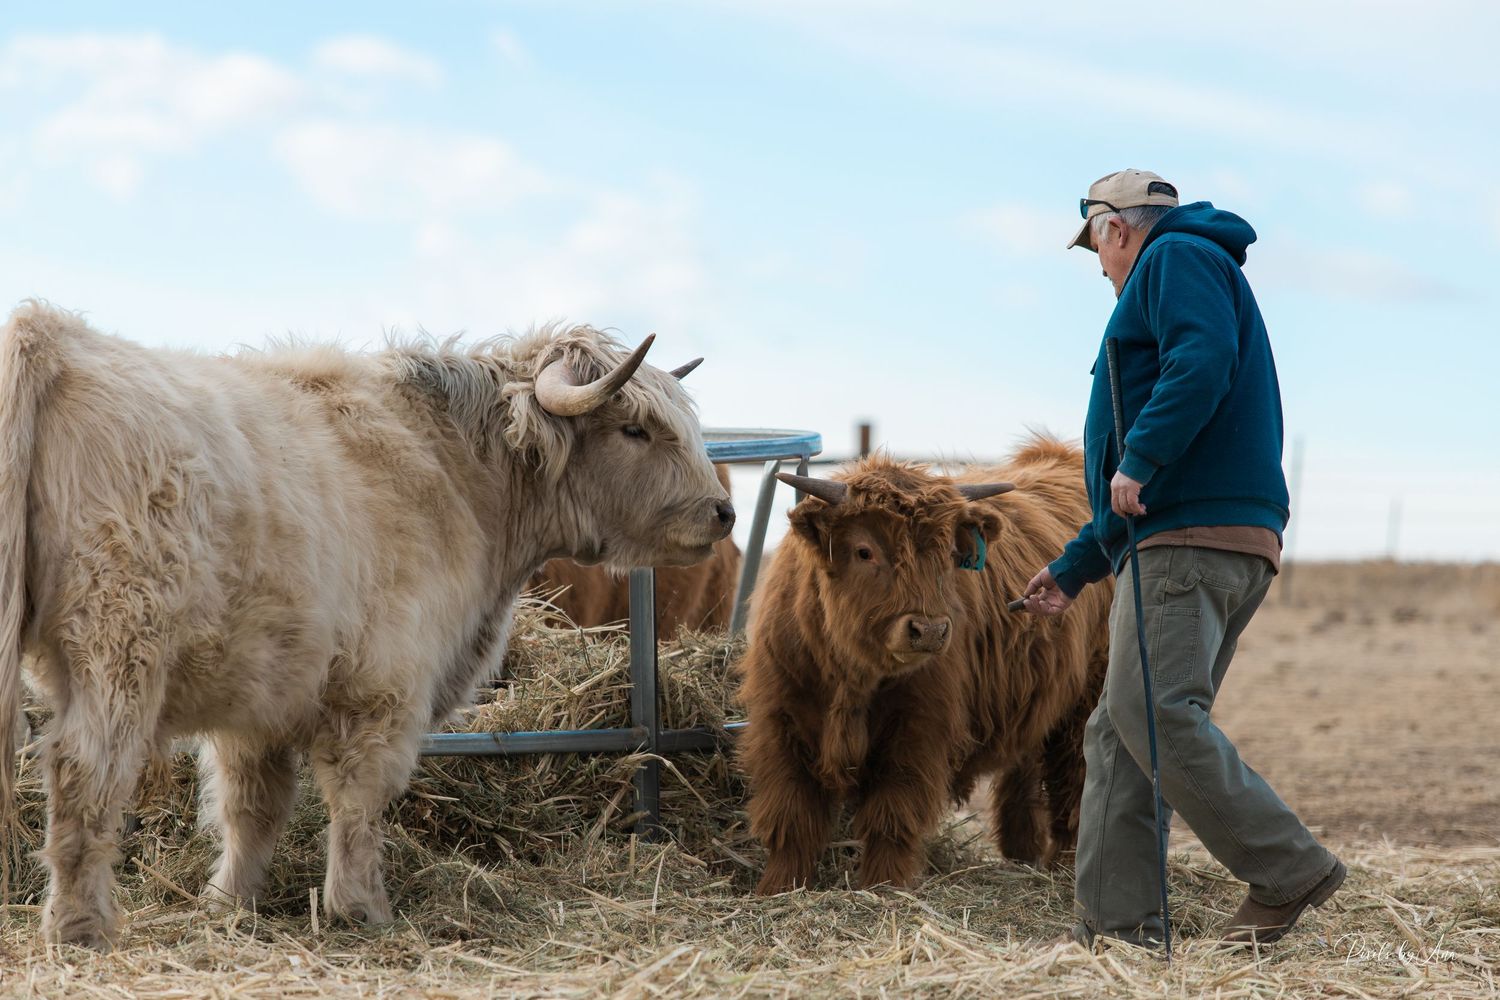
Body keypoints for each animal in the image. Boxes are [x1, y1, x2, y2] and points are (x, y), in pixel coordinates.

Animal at [735, 437, 1111, 894]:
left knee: (1077, 785)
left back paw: (1068, 868)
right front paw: (778, 888)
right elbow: (792, 817)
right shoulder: (781, 724)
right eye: (864, 551)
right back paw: (1022, 854)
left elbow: (892, 818)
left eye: (949, 553)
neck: (851, 677)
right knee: (1024, 773)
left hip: (1087, 702)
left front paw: (885, 887)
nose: (929, 630)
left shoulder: (917, 732)